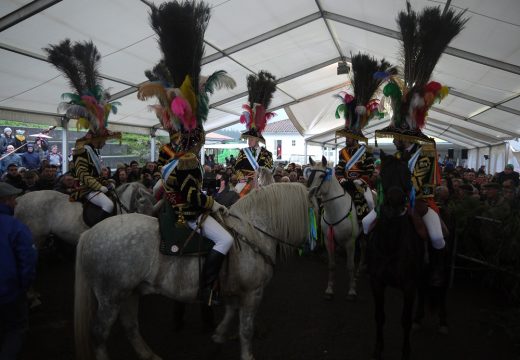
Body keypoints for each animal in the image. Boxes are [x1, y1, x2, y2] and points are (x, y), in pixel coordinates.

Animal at [72, 183, 308, 360]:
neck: (252, 232)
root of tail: (90, 233)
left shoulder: (234, 288)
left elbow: (231, 311)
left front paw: (219, 336)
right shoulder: (253, 292)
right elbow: (246, 329)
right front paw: (246, 354)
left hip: (129, 293)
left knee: (130, 326)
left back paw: (149, 355)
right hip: (110, 296)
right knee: (99, 334)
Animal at [306, 156, 360, 300]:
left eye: (322, 175)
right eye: (310, 173)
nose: (309, 194)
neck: (336, 210)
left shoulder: (350, 242)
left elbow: (350, 266)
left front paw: (352, 290)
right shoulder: (329, 241)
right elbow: (332, 265)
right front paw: (329, 289)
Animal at [368, 153, 424, 360]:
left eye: (408, 174)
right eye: (382, 174)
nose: (395, 202)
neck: (390, 245)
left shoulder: (409, 286)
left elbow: (405, 320)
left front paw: (406, 350)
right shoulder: (377, 282)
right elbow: (379, 316)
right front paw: (378, 347)